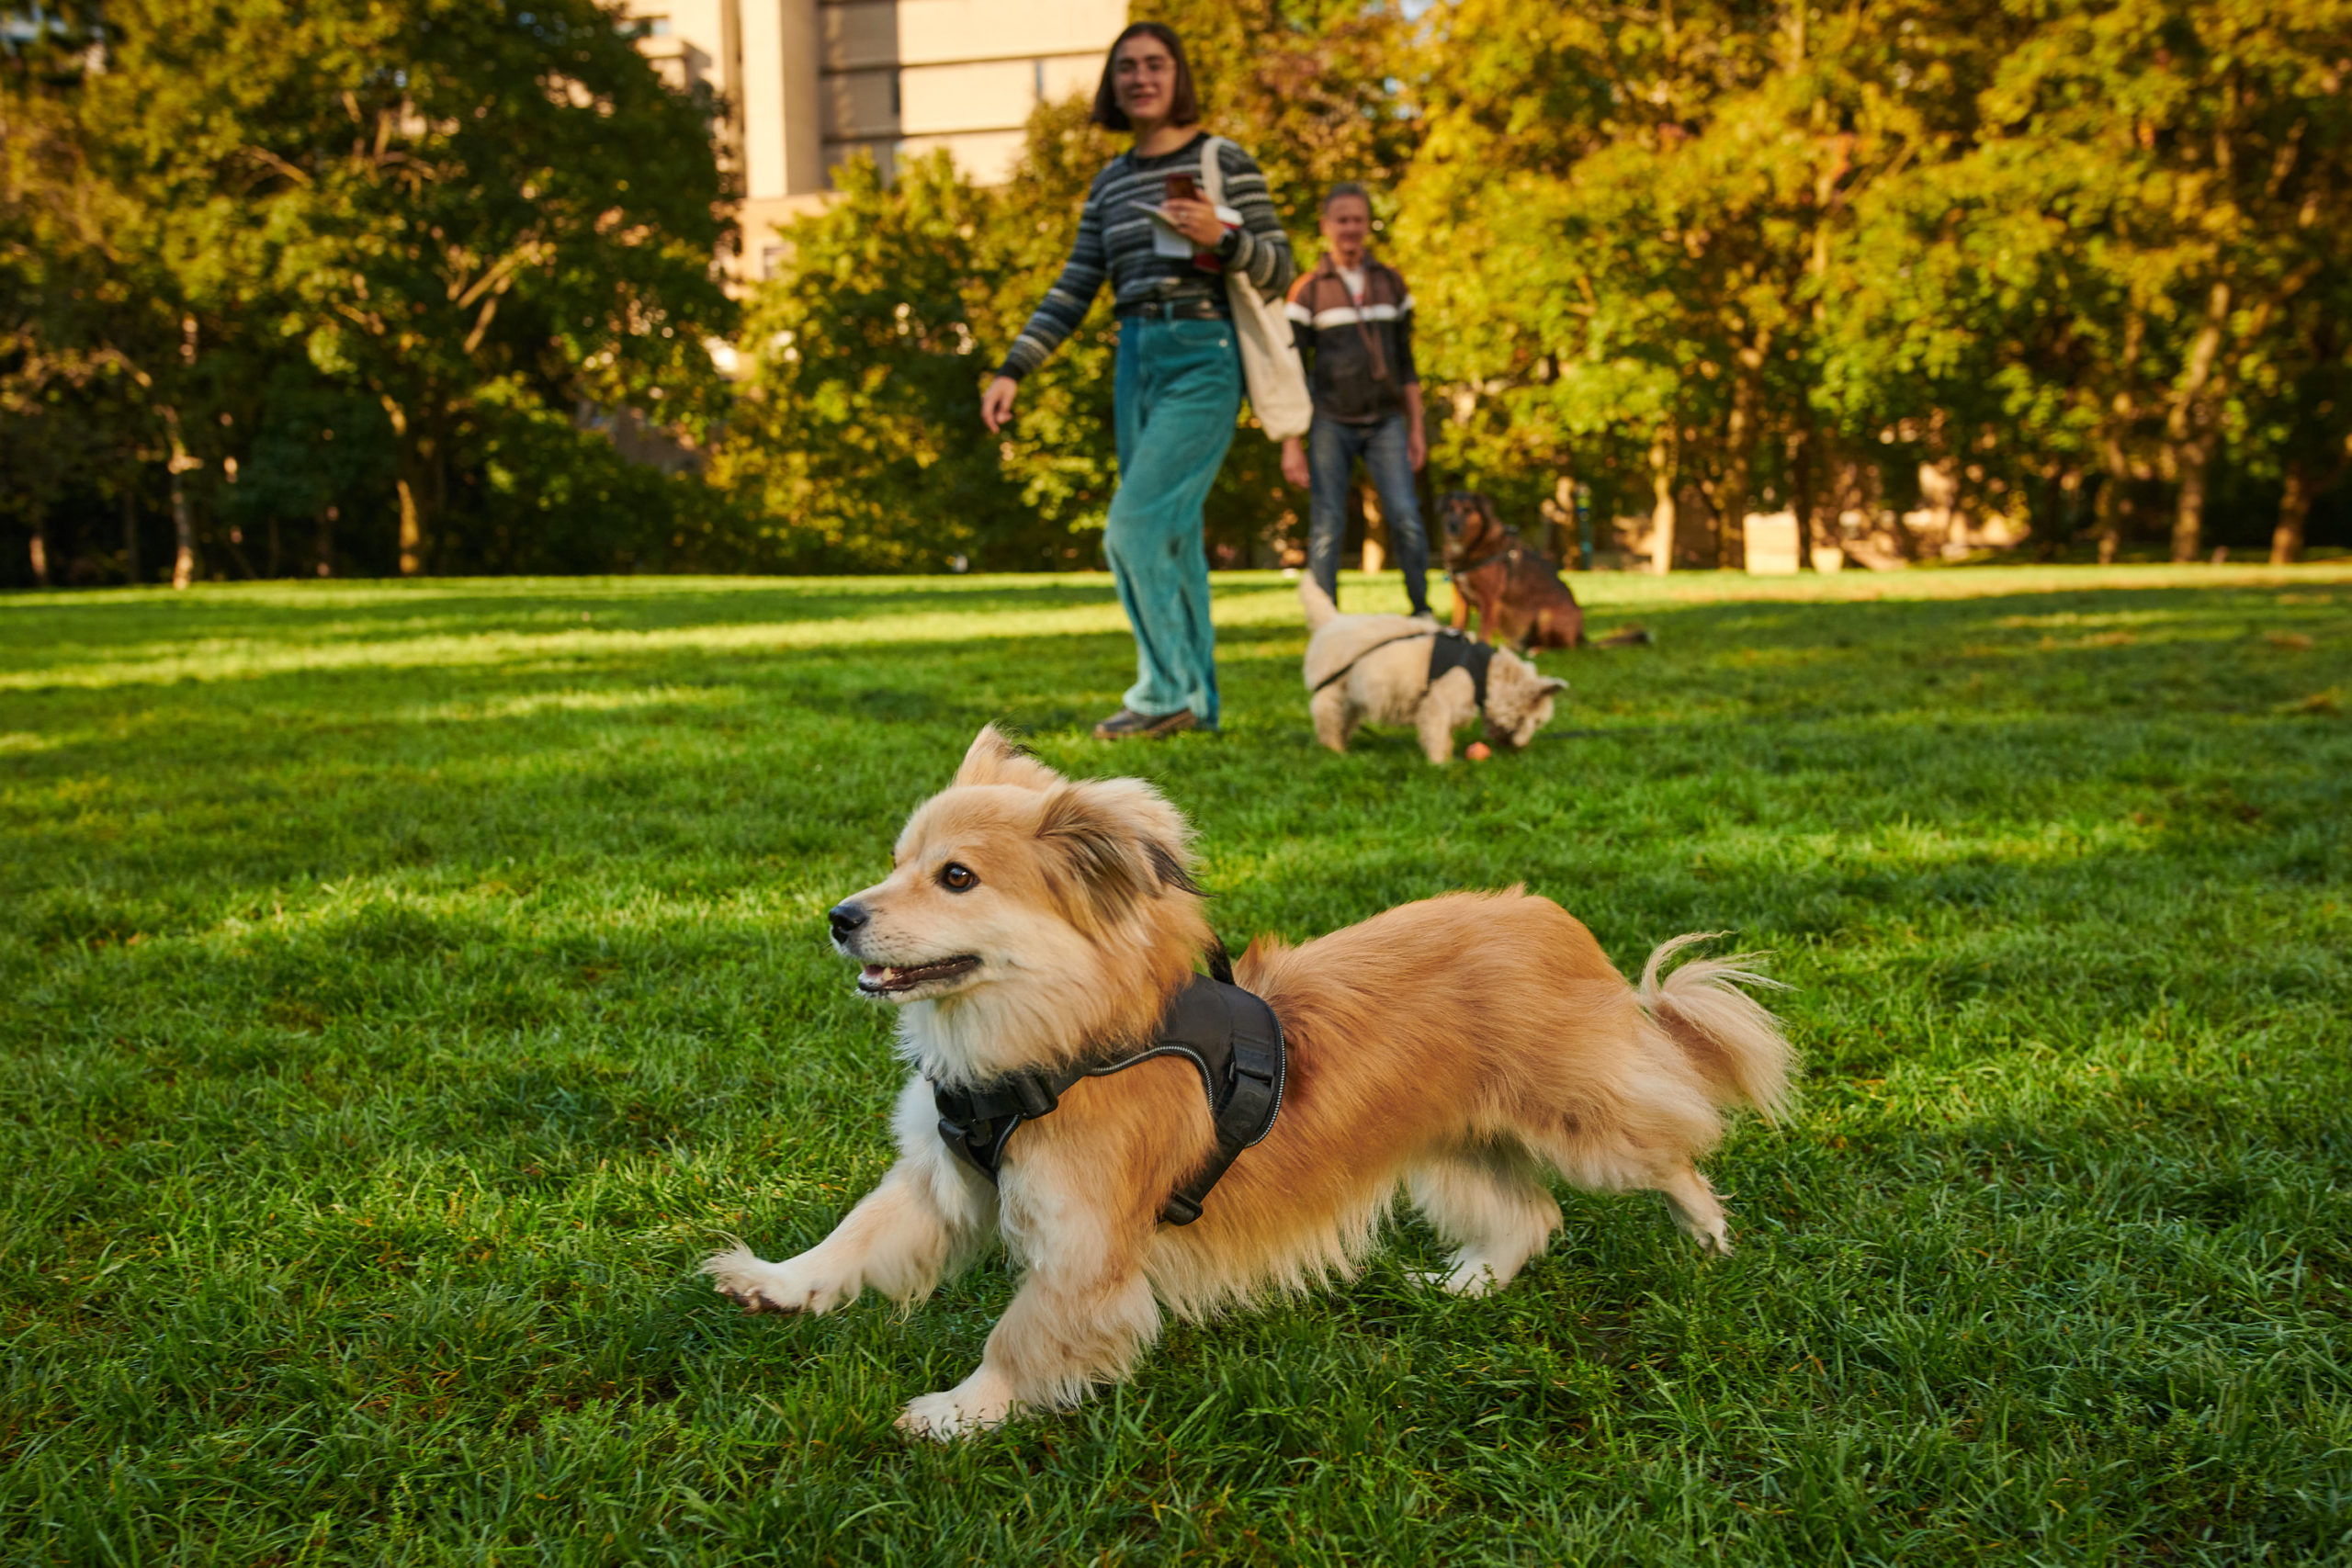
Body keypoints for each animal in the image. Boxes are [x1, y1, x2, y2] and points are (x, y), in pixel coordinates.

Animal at [706, 728, 1787, 1438]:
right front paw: (777, 1285)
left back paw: (1710, 1236)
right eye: (894, 865)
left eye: (957, 878)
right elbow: (855, 1238)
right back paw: (1467, 1283)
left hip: (1582, 1128)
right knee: (1529, 1218)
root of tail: (1551, 920)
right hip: (1446, 1151)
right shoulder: (940, 1182)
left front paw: (957, 1412)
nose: (841, 917)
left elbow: (1019, 1337)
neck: (1052, 1044)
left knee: (1673, 1152)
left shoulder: (1083, 1250)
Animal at [1298, 582, 1571, 766]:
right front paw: (1442, 763)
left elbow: (1446, 734)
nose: (1522, 748)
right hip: (1333, 691)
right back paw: (1334, 749)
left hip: (1353, 696)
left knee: (1345, 720)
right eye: (1537, 721)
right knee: (1327, 718)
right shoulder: (1438, 703)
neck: (1485, 673)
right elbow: (1438, 733)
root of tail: (1330, 622)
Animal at [1430, 495, 1656, 658]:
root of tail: (1580, 634)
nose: (1452, 525)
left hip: (1546, 615)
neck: (1471, 548)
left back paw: (1536, 651)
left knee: (1563, 648)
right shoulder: (1460, 596)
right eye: (1449, 509)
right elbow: (1458, 623)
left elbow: (1484, 631)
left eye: (1468, 510)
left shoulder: (1490, 598)